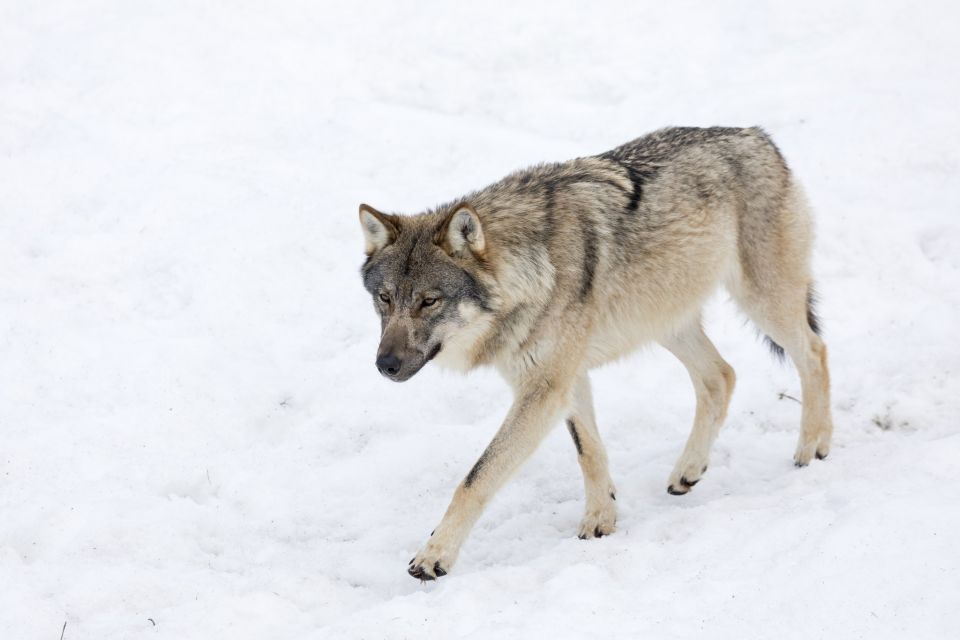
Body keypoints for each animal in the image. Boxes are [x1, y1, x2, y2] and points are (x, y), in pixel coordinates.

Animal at [358, 125, 832, 580]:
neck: (532, 271)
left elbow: (476, 478)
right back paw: (688, 472)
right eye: (385, 298)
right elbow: (588, 450)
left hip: (760, 302)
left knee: (815, 351)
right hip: (665, 321)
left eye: (429, 301)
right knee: (722, 375)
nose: (384, 365)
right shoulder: (565, 379)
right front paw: (602, 518)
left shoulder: (545, 389)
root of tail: (757, 136)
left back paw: (813, 447)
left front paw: (433, 556)